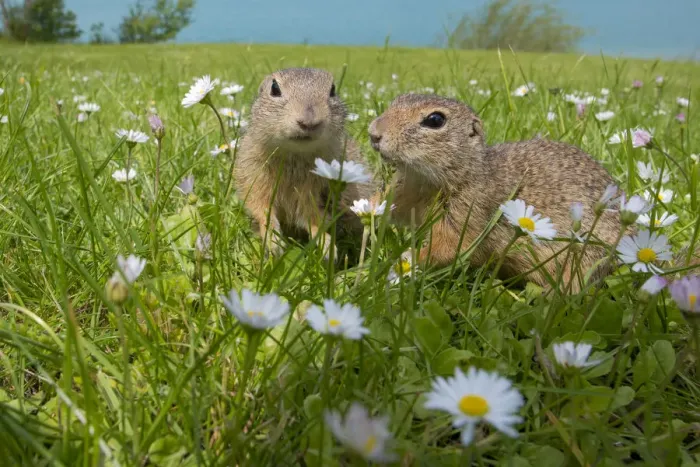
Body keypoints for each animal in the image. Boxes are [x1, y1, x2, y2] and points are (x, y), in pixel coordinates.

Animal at [235, 67, 376, 259]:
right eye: (274, 88)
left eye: (333, 90)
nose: (309, 122)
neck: (295, 154)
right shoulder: (254, 174)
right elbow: (261, 207)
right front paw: (273, 241)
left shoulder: (312, 192)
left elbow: (312, 218)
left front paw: (327, 246)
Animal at [368, 93, 625, 292]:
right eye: (395, 100)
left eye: (435, 120)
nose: (373, 133)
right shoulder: (406, 193)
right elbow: (388, 205)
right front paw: (367, 207)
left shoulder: (468, 212)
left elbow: (449, 247)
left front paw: (406, 258)